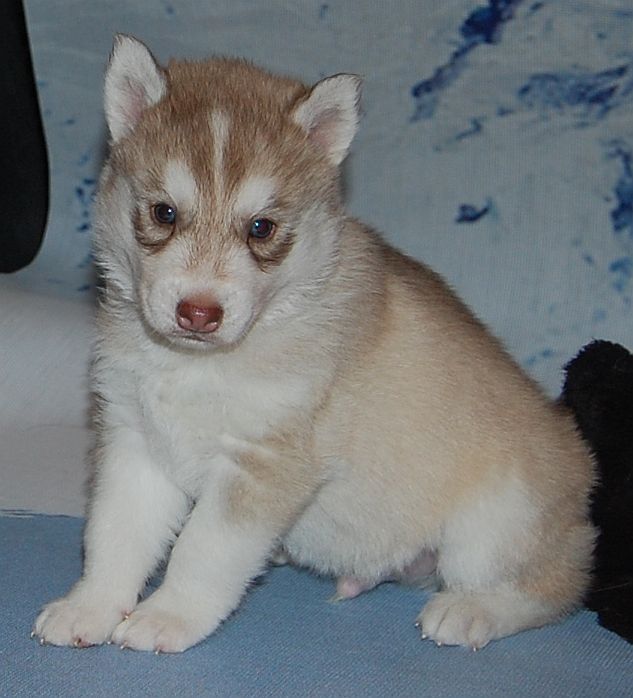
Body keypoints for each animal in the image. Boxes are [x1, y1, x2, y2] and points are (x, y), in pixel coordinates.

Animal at [33, 35, 596, 653]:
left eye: (261, 228)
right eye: (163, 213)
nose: (199, 313)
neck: (200, 366)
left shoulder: (263, 464)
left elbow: (201, 550)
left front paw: (169, 616)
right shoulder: (133, 439)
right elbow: (114, 534)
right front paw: (89, 607)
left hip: (498, 522)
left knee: (553, 587)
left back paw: (472, 611)